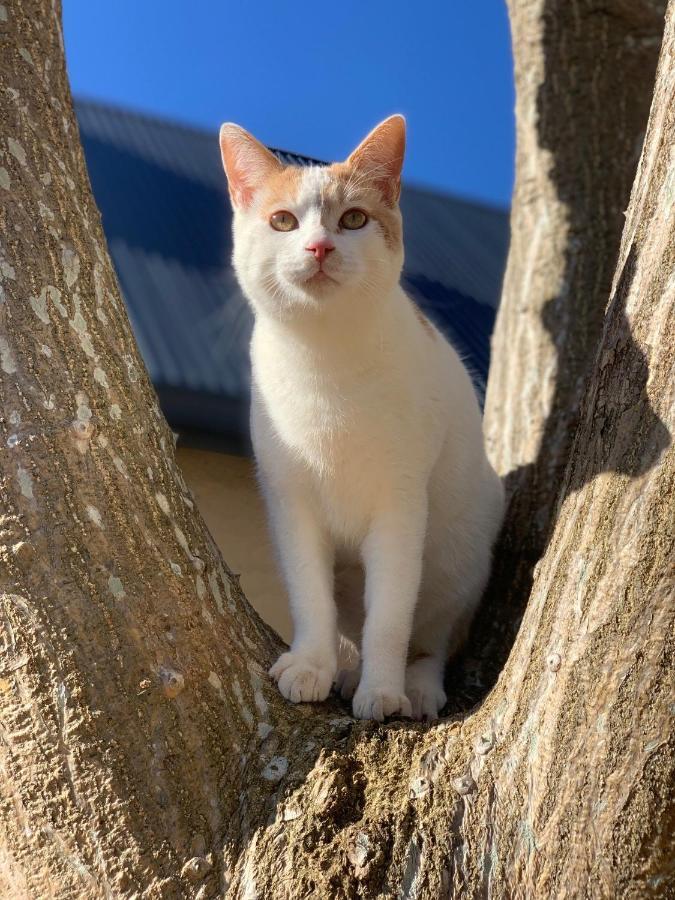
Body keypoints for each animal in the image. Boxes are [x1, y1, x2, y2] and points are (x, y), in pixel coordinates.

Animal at [219, 112, 504, 720]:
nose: (320, 246)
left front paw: (383, 691)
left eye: (353, 219)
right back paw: (346, 670)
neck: (326, 361)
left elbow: (390, 618)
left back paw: (415, 688)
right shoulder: (291, 503)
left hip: (459, 559)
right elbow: (311, 601)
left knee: (432, 638)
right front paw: (312, 666)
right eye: (282, 221)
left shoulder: (400, 505)